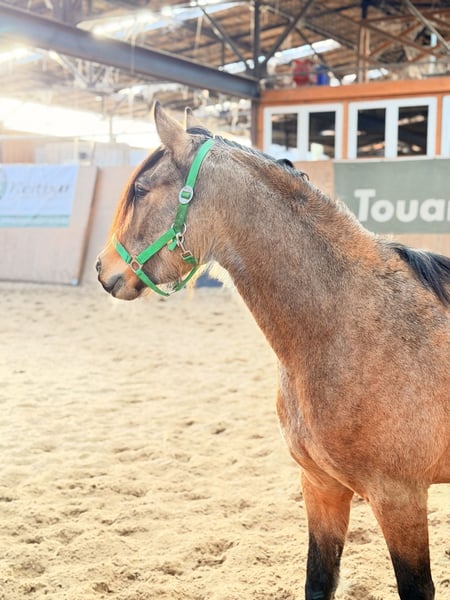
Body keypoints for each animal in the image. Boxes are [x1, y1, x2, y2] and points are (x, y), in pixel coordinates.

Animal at [96, 102, 450, 600]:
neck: (352, 326)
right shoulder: (321, 487)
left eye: (142, 189)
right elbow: (318, 582)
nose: (102, 268)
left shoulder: (399, 497)